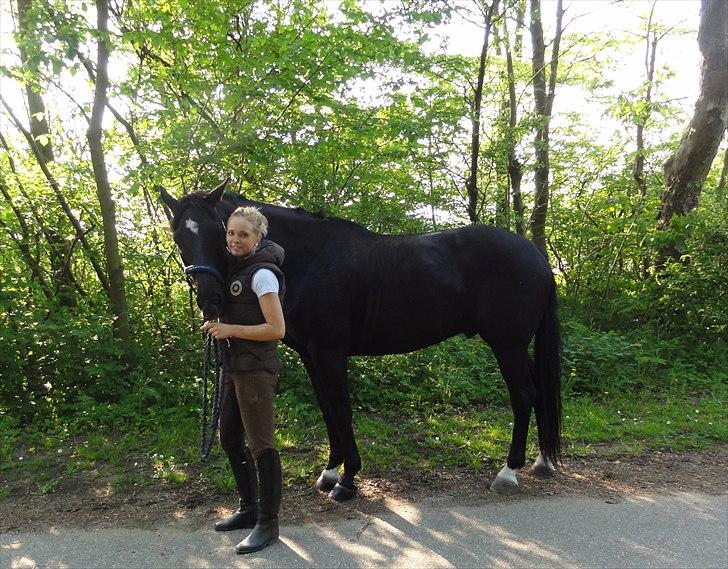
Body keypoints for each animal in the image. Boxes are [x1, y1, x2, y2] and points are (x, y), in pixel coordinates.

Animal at [162, 182, 564, 502]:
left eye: (219, 232)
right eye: (179, 235)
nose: (211, 300)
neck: (308, 259)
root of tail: (537, 256)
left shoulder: (330, 352)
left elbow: (341, 410)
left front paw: (348, 481)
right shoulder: (311, 354)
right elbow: (327, 408)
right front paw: (329, 472)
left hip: (507, 344)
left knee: (523, 394)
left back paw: (508, 472)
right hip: (516, 346)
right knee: (537, 391)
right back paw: (541, 461)